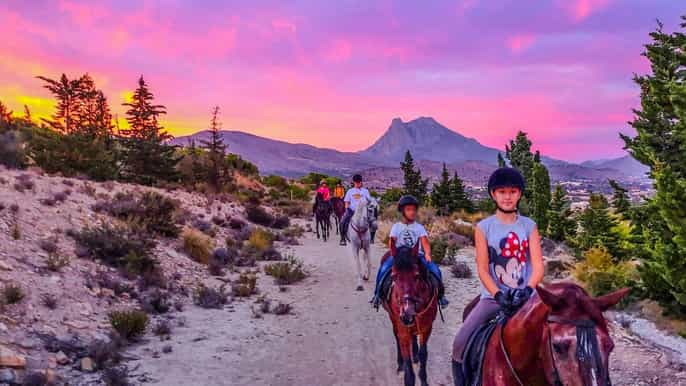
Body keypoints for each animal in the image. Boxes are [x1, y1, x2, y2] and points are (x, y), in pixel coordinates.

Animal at [382, 244, 440, 386]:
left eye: (417, 276)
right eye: (394, 276)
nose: (407, 314)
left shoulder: (427, 327)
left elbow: (423, 353)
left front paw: (423, 379)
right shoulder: (402, 328)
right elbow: (406, 355)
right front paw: (406, 371)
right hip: (394, 319)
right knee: (397, 337)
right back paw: (400, 364)